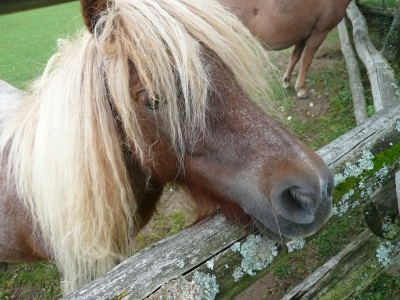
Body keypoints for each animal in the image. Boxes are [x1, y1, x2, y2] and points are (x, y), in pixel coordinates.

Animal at [219, 0, 354, 98]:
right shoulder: (319, 33)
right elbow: (306, 61)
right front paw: (301, 89)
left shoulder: (303, 34)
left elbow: (295, 57)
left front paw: (287, 81)